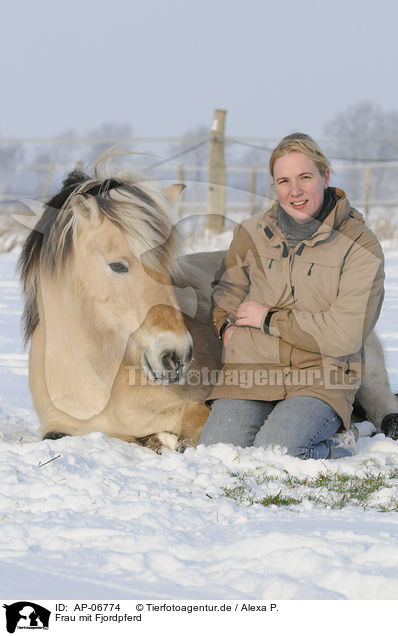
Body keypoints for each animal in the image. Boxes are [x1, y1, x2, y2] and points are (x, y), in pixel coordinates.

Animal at [18, 166, 398, 450]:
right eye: (117, 266)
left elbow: (189, 425)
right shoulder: (58, 427)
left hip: (370, 378)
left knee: (386, 414)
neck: (99, 379)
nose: (176, 355)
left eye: (170, 267)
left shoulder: (197, 407)